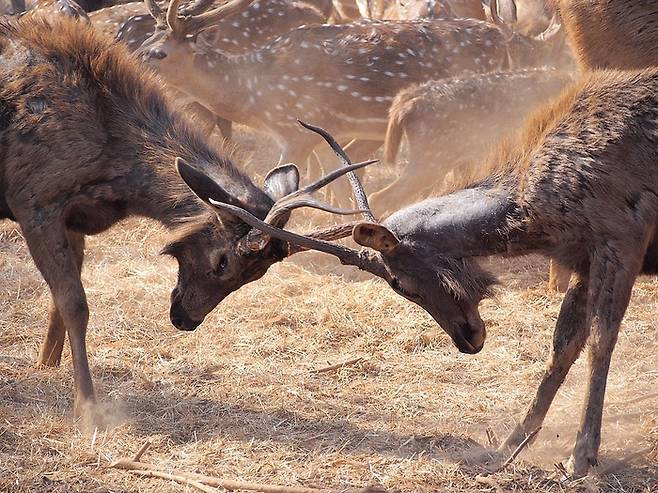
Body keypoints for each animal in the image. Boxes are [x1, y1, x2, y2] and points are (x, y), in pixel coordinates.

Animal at [0, 13, 368, 418]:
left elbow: (59, 302)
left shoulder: (73, 218)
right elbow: (74, 303)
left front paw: (46, 363)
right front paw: (88, 406)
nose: (185, 320)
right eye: (223, 261)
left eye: (256, 275)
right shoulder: (34, 201)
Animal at [137, 0, 564, 171]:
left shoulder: (297, 129)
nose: (130, 57)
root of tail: (503, 40)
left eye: (158, 52)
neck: (255, 96)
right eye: (148, 40)